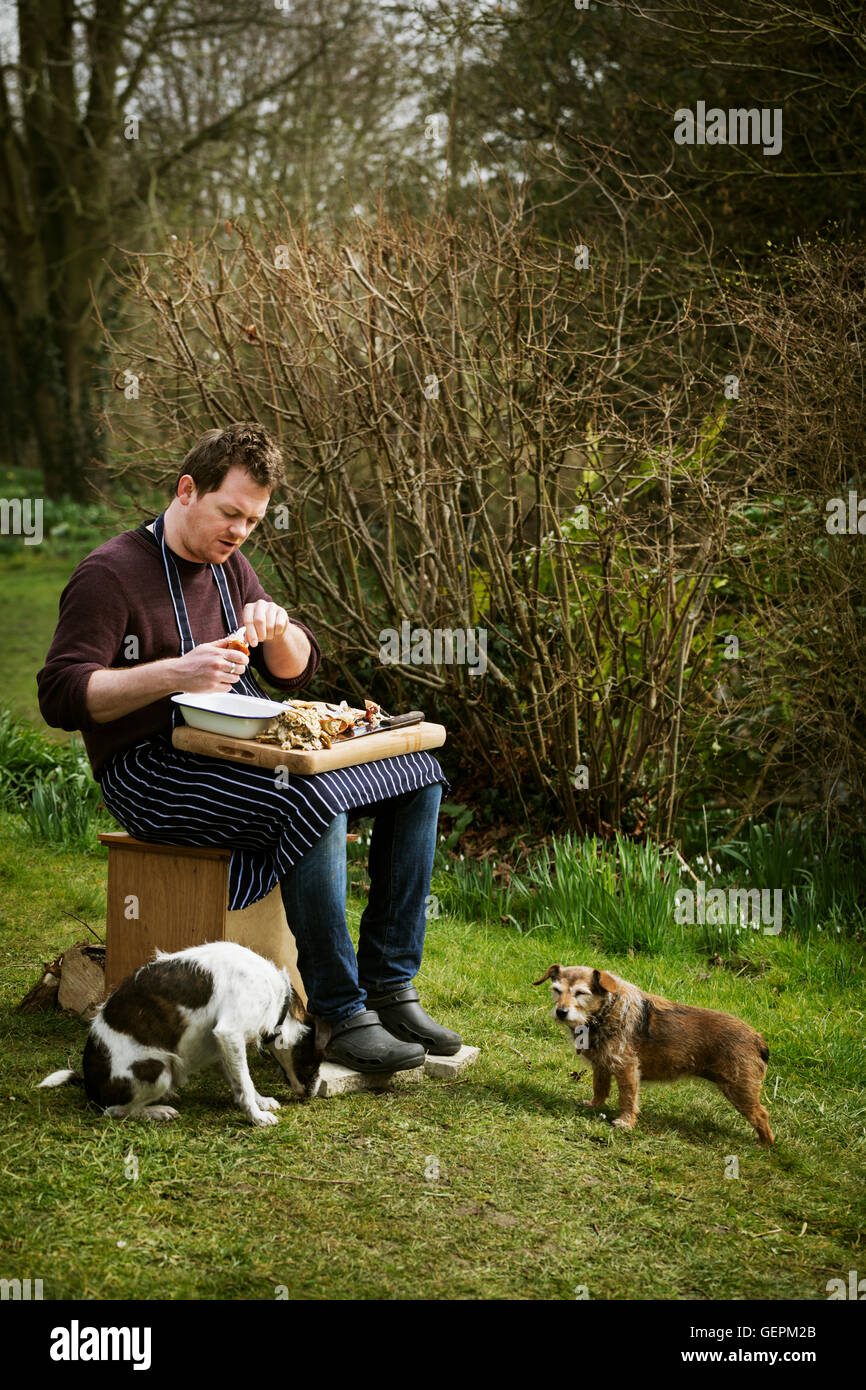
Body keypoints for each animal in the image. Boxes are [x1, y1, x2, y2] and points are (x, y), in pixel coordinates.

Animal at [36, 939, 322, 1123]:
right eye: (315, 1058)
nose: (314, 1094)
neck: (279, 999)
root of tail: (91, 1086)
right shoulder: (230, 1033)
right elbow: (245, 1078)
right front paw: (257, 1116)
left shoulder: (219, 1045)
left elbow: (240, 1082)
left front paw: (258, 1101)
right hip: (157, 1068)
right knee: (114, 1111)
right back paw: (157, 1111)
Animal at [530, 961, 778, 1145]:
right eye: (556, 990)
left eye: (581, 993)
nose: (561, 1012)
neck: (605, 1012)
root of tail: (758, 1039)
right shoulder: (601, 1065)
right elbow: (600, 1088)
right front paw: (594, 1105)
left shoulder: (627, 1068)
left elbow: (627, 1098)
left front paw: (626, 1122)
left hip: (740, 1090)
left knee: (762, 1115)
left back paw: (764, 1144)